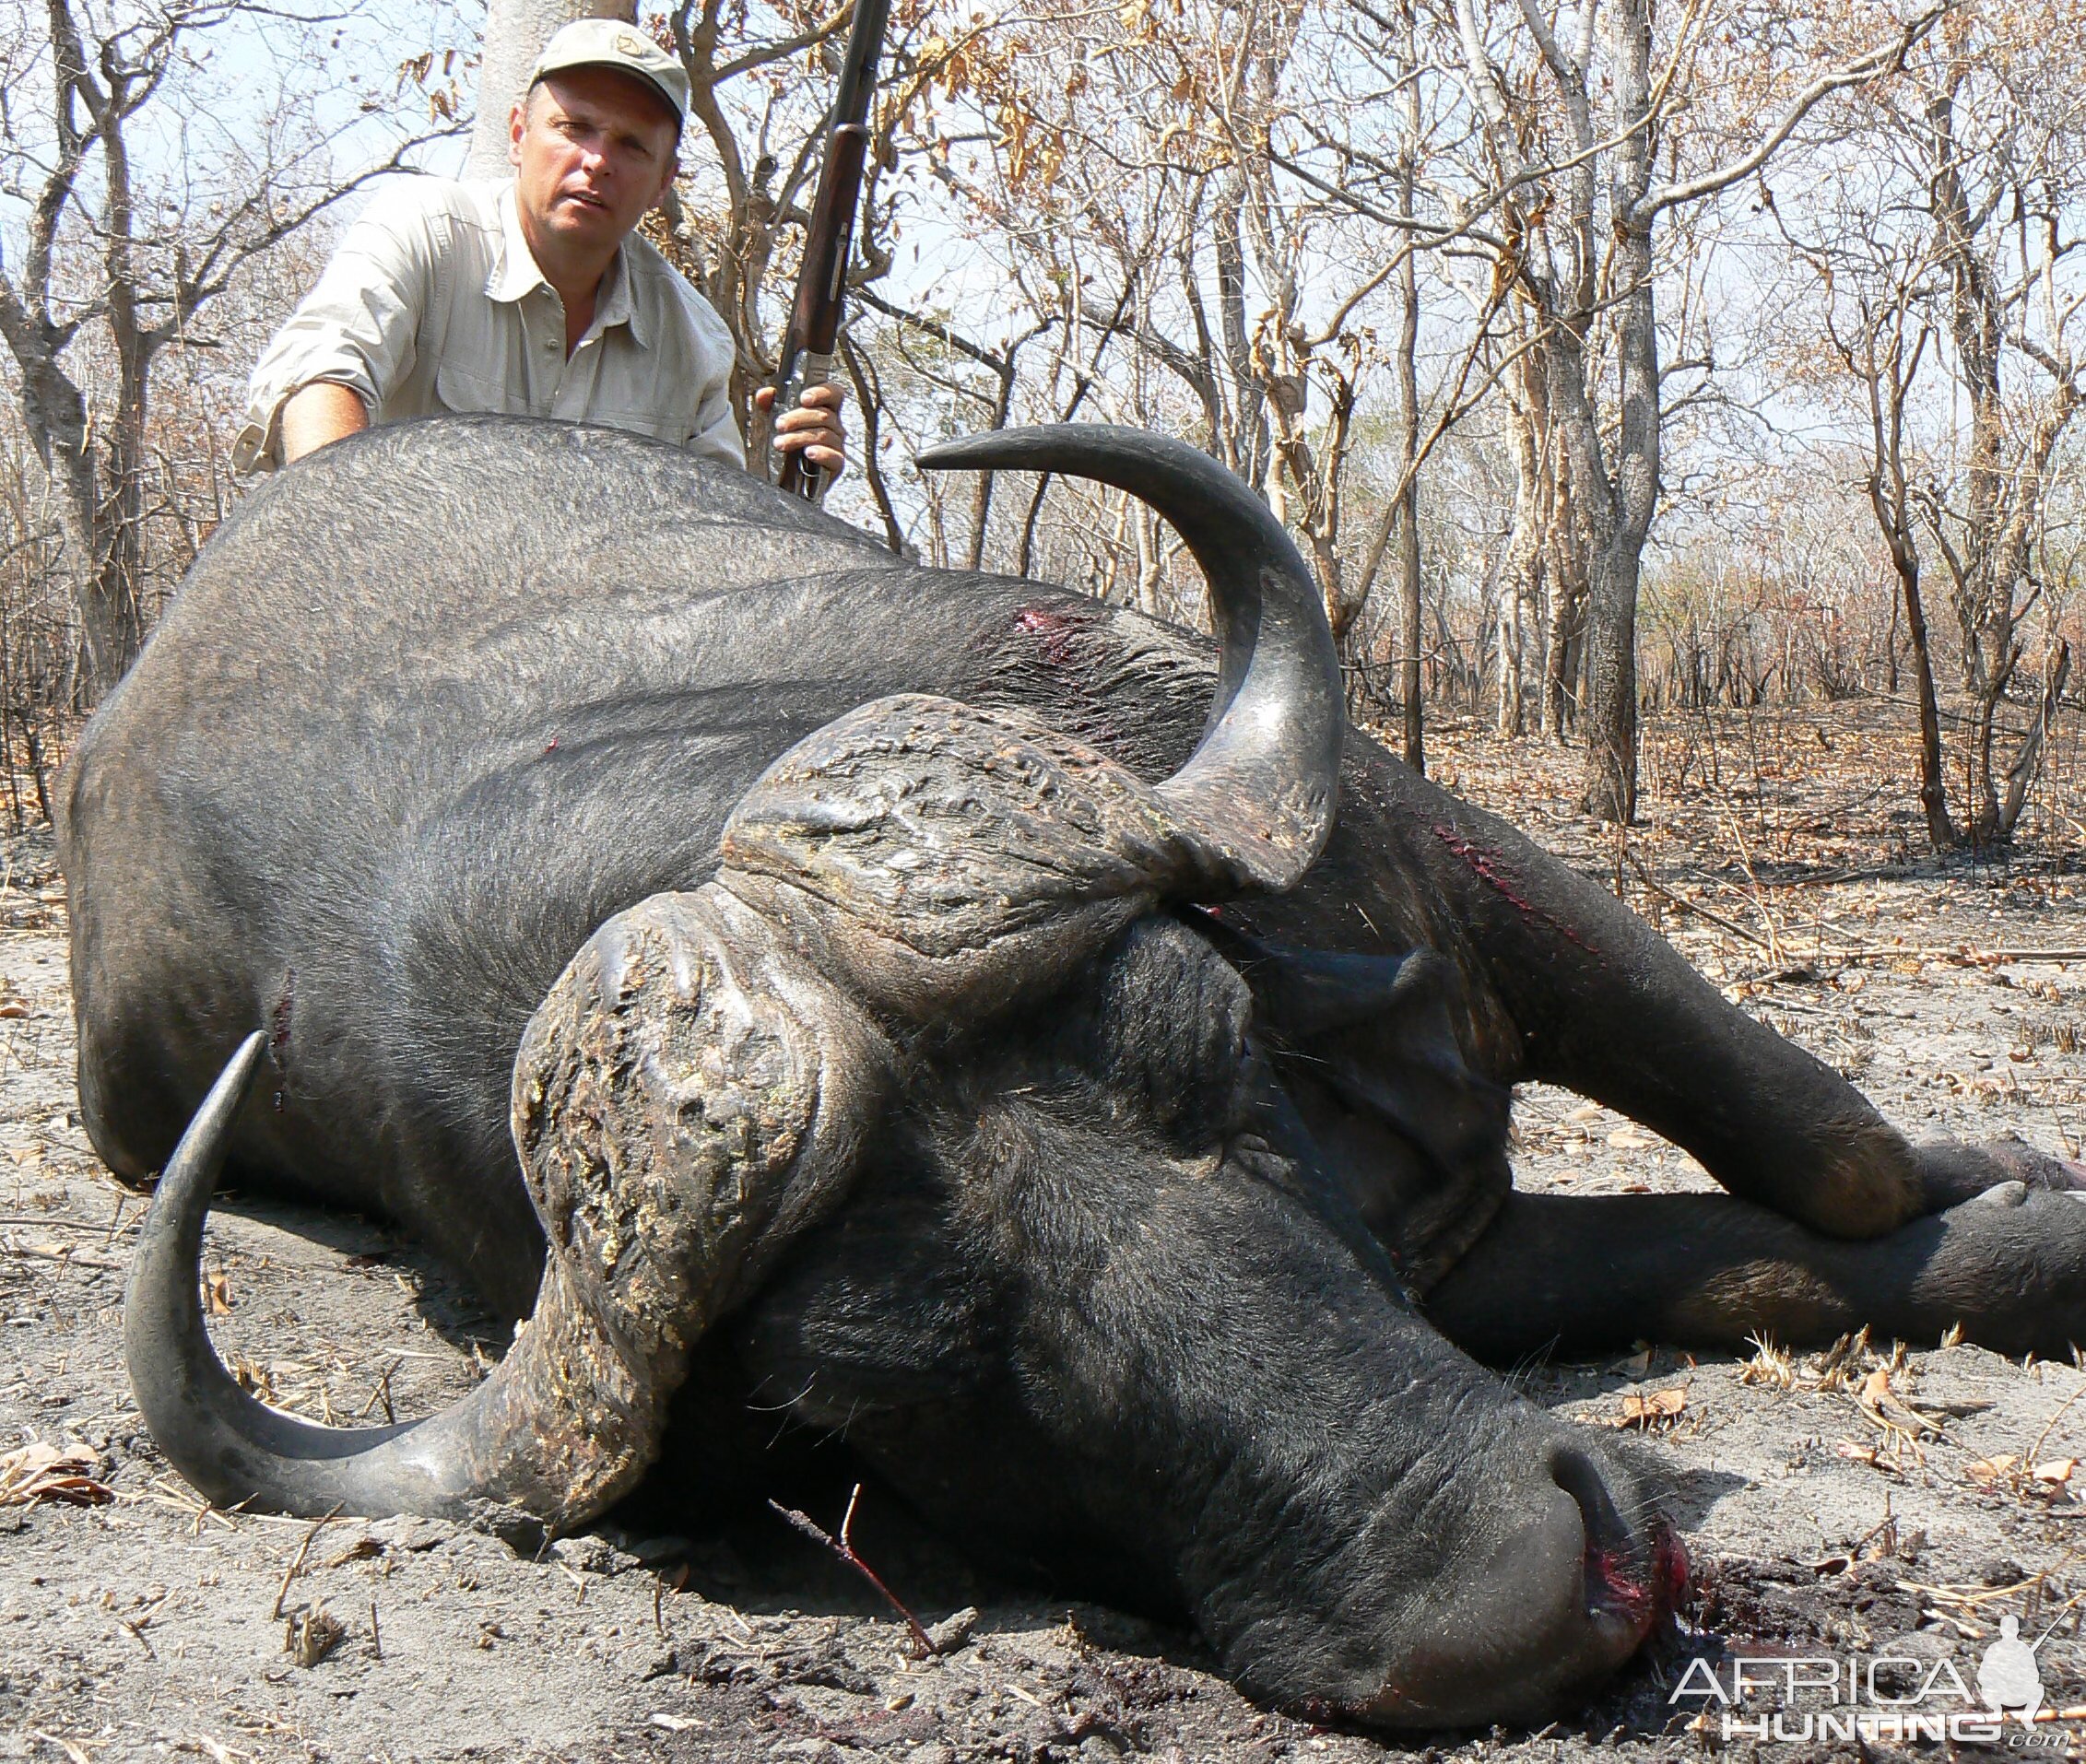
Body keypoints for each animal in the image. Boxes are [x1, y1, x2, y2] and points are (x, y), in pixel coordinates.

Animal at [56, 415, 2086, 1726]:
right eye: (875, 1396)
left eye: (1204, 1054)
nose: (1514, 1588)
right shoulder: (1456, 1252)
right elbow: (1746, 1246)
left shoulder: (1475, 882)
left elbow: (1825, 1159)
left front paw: (2011, 1183)